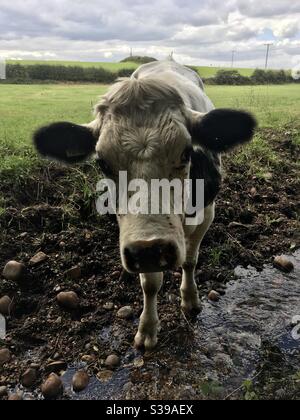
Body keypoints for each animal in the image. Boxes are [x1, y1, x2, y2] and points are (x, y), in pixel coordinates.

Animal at [34, 58, 256, 348]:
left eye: (186, 152)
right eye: (102, 163)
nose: (151, 249)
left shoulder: (208, 213)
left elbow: (190, 261)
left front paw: (190, 300)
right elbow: (150, 283)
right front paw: (148, 327)